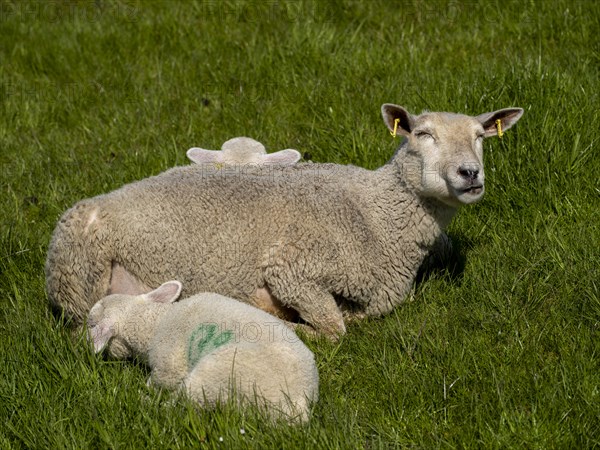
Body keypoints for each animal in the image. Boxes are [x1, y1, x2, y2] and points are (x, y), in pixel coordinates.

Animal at [47, 104, 524, 338]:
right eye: (422, 135)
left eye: (480, 137)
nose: (470, 173)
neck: (375, 213)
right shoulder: (292, 267)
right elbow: (333, 330)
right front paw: (295, 324)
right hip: (79, 277)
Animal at [88, 280, 318, 424]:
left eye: (91, 323)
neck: (155, 321)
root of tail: (298, 402)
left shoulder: (168, 365)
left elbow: (160, 381)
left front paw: (144, 390)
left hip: (216, 375)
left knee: (182, 403)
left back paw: (148, 403)